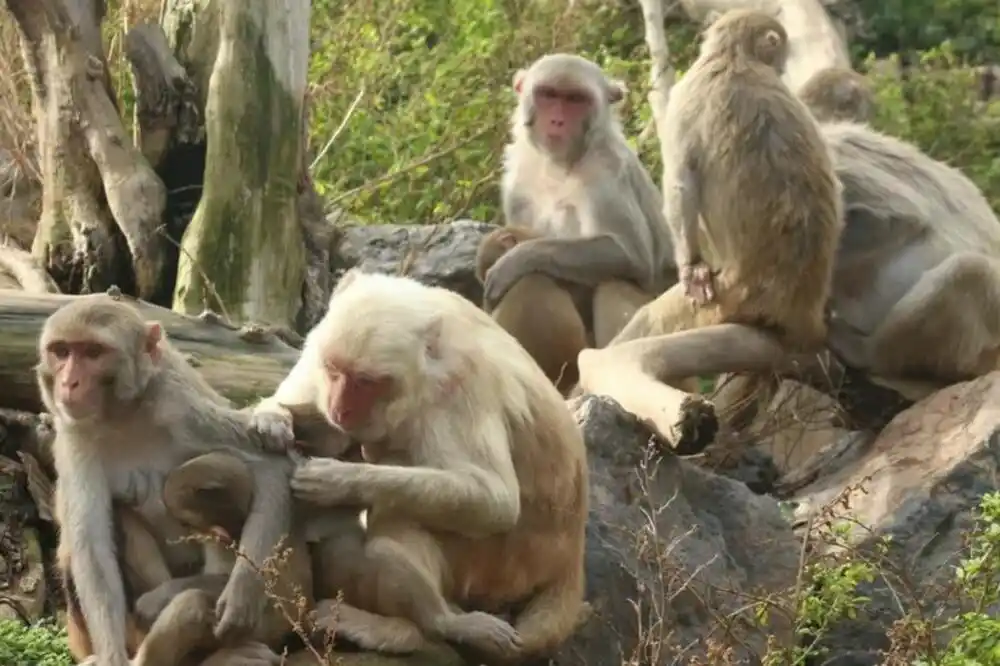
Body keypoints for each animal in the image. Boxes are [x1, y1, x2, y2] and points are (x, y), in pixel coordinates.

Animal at [40, 294, 296, 664]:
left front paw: (242, 593)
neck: (124, 415)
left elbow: (269, 464)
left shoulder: (179, 405)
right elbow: (91, 547)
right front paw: (111, 655)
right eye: (61, 352)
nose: (69, 382)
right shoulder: (75, 436)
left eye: (93, 352)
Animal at [250, 268, 588, 660]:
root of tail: (571, 550)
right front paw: (273, 416)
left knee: (399, 521)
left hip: (501, 568)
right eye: (334, 371)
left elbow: (496, 503)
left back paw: (431, 625)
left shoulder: (457, 392)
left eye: (366, 383)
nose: (339, 408)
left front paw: (340, 481)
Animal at [482, 51, 676, 350]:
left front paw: (517, 259)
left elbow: (631, 255)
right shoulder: (517, 181)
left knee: (612, 283)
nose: (557, 121)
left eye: (575, 99)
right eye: (549, 94)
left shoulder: (605, 170)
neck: (559, 164)